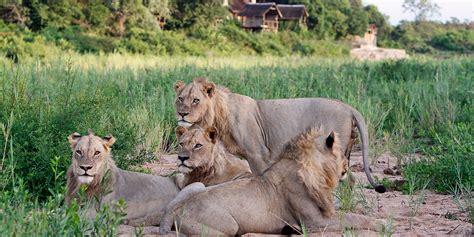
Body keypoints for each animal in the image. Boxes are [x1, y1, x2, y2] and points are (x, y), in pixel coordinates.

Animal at [159, 128, 386, 235]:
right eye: (340, 154)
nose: (347, 168)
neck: (316, 172)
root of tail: (178, 212)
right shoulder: (314, 222)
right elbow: (353, 218)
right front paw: (381, 224)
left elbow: (353, 214)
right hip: (227, 227)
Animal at [174, 78, 386, 193]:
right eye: (180, 99)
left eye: (196, 100)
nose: (182, 114)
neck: (219, 113)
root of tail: (350, 108)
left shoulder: (258, 154)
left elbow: (260, 177)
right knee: (350, 179)